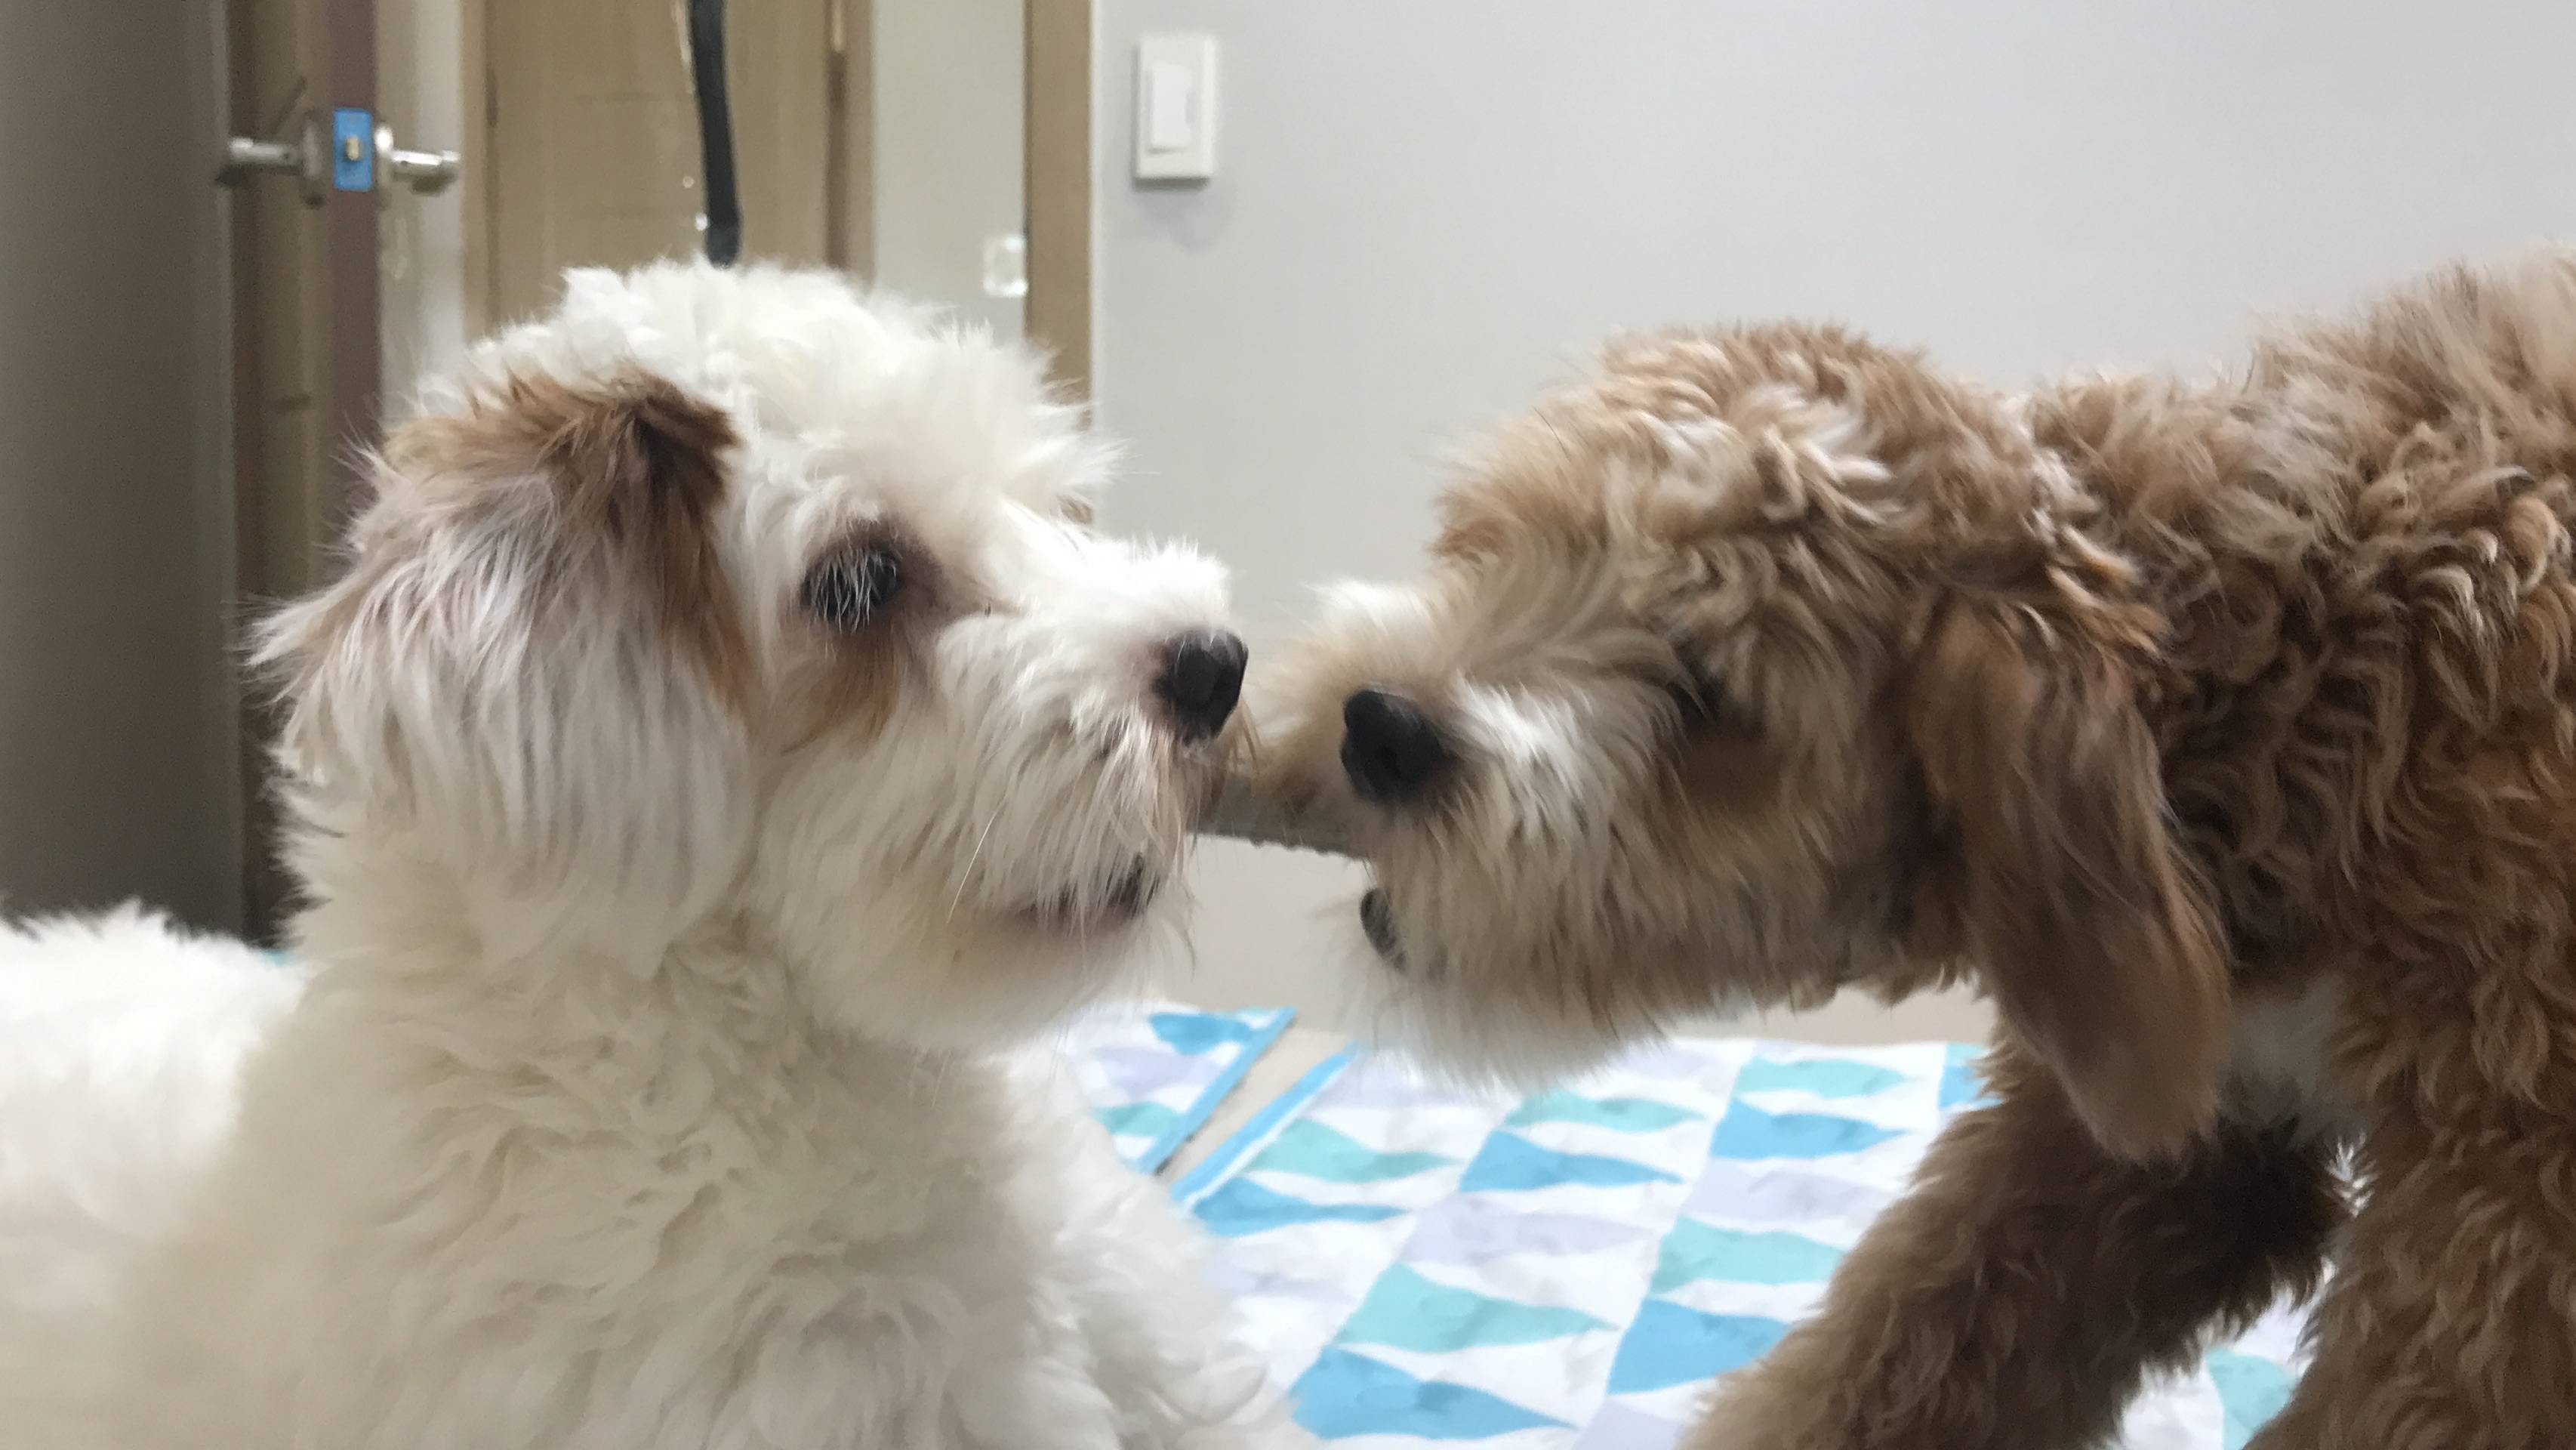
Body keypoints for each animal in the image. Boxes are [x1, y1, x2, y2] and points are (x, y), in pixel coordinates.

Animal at [1231, 255, 2576, 1442]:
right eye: (1489, 541)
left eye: (1709, 693)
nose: (1383, 730)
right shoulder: (2149, 1142)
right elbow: (1898, 1348)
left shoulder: (2506, 1221)